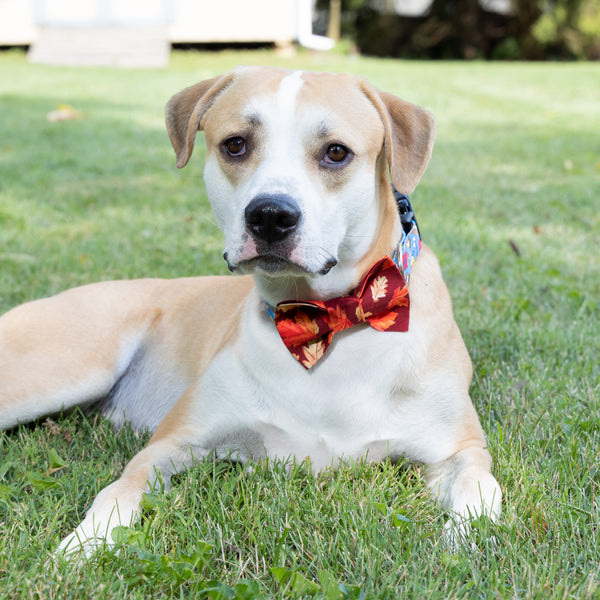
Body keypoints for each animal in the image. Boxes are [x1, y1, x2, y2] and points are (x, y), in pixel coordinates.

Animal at [0, 65, 502, 552]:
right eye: (236, 144)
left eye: (336, 152)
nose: (271, 215)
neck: (322, 318)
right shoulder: (172, 442)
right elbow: (119, 489)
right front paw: (85, 543)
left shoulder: (460, 449)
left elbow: (481, 490)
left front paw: (461, 542)